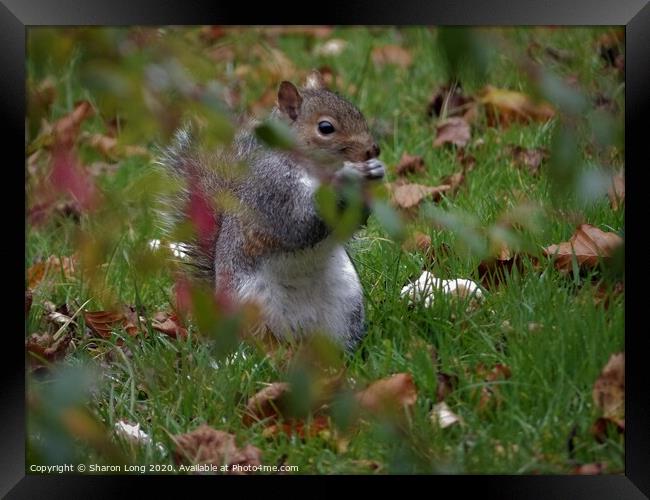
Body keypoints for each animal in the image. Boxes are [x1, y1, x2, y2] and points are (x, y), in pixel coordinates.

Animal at [157, 70, 382, 352]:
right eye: (326, 128)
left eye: (358, 112)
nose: (373, 149)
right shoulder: (273, 192)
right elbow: (298, 224)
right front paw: (348, 178)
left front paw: (371, 176)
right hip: (250, 308)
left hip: (347, 306)